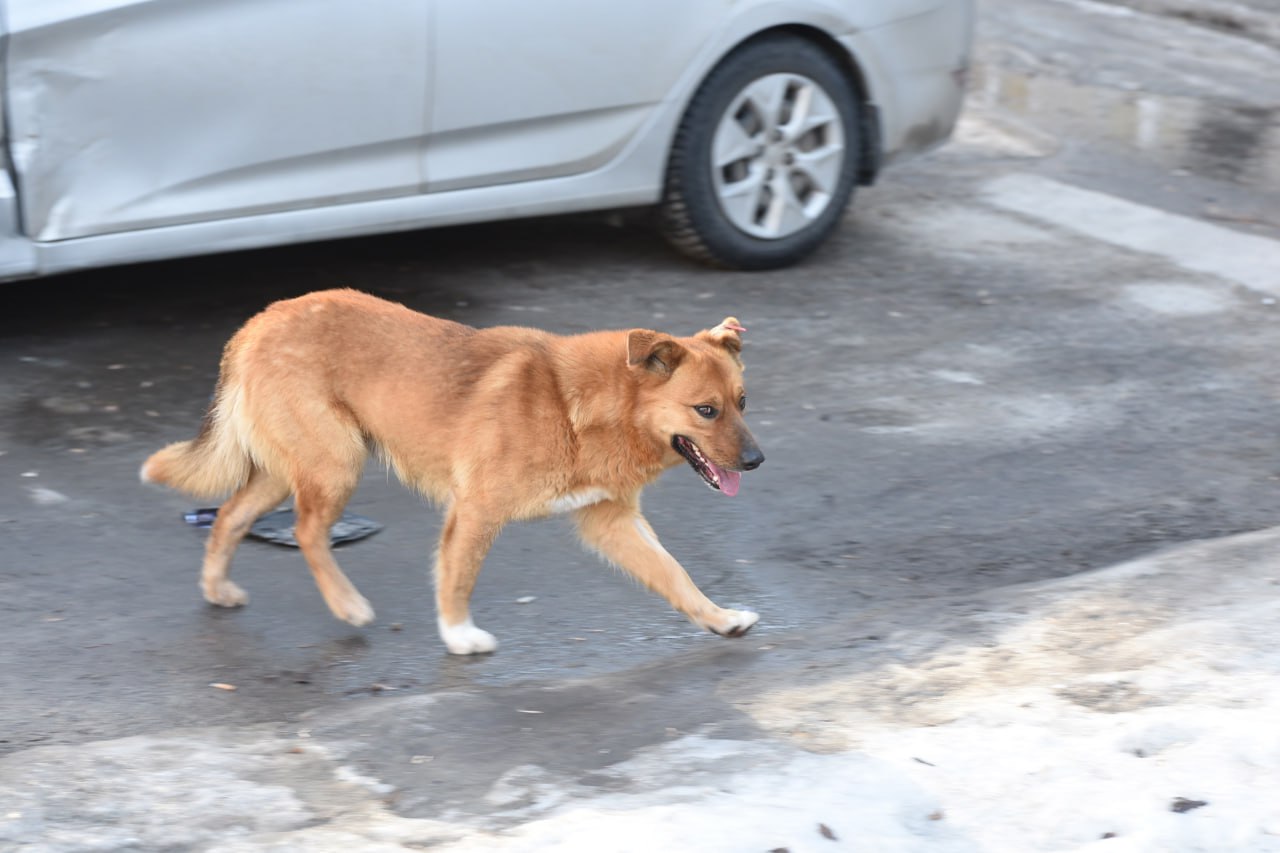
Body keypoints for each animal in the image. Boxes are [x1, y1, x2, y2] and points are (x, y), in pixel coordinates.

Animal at [140, 289, 757, 653]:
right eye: (706, 410)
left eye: (742, 403)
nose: (756, 461)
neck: (579, 406)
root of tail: (258, 323)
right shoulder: (476, 511)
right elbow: (459, 577)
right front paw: (459, 635)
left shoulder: (612, 522)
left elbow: (675, 575)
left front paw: (718, 618)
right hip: (336, 464)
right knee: (307, 531)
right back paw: (347, 605)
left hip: (283, 473)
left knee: (228, 518)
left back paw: (217, 588)